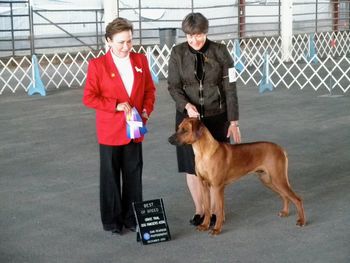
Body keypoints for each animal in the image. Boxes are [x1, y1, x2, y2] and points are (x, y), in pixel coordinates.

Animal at [168, 117, 304, 235]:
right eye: (178, 128)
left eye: (185, 130)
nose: (169, 139)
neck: (203, 153)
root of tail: (281, 149)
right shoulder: (204, 185)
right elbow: (207, 209)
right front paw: (205, 225)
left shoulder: (217, 187)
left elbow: (218, 210)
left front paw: (216, 229)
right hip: (268, 180)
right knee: (285, 196)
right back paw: (285, 212)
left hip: (278, 178)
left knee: (297, 199)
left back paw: (302, 221)